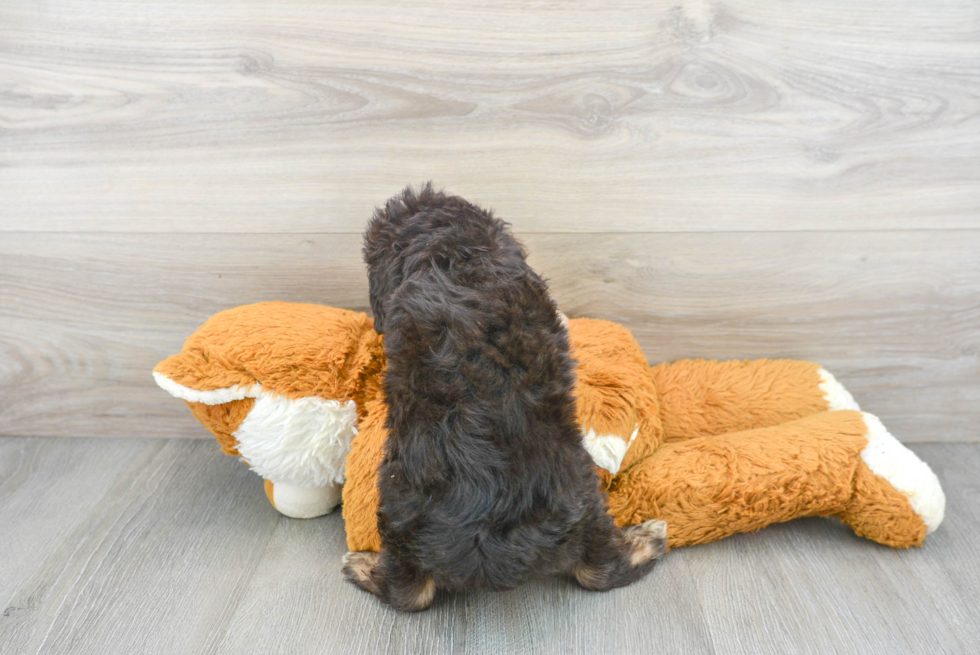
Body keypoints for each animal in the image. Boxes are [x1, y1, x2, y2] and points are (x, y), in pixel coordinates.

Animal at [344, 183, 668, 608]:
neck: (453, 254)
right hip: (581, 494)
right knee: (600, 569)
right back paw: (650, 539)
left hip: (399, 507)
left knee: (409, 592)